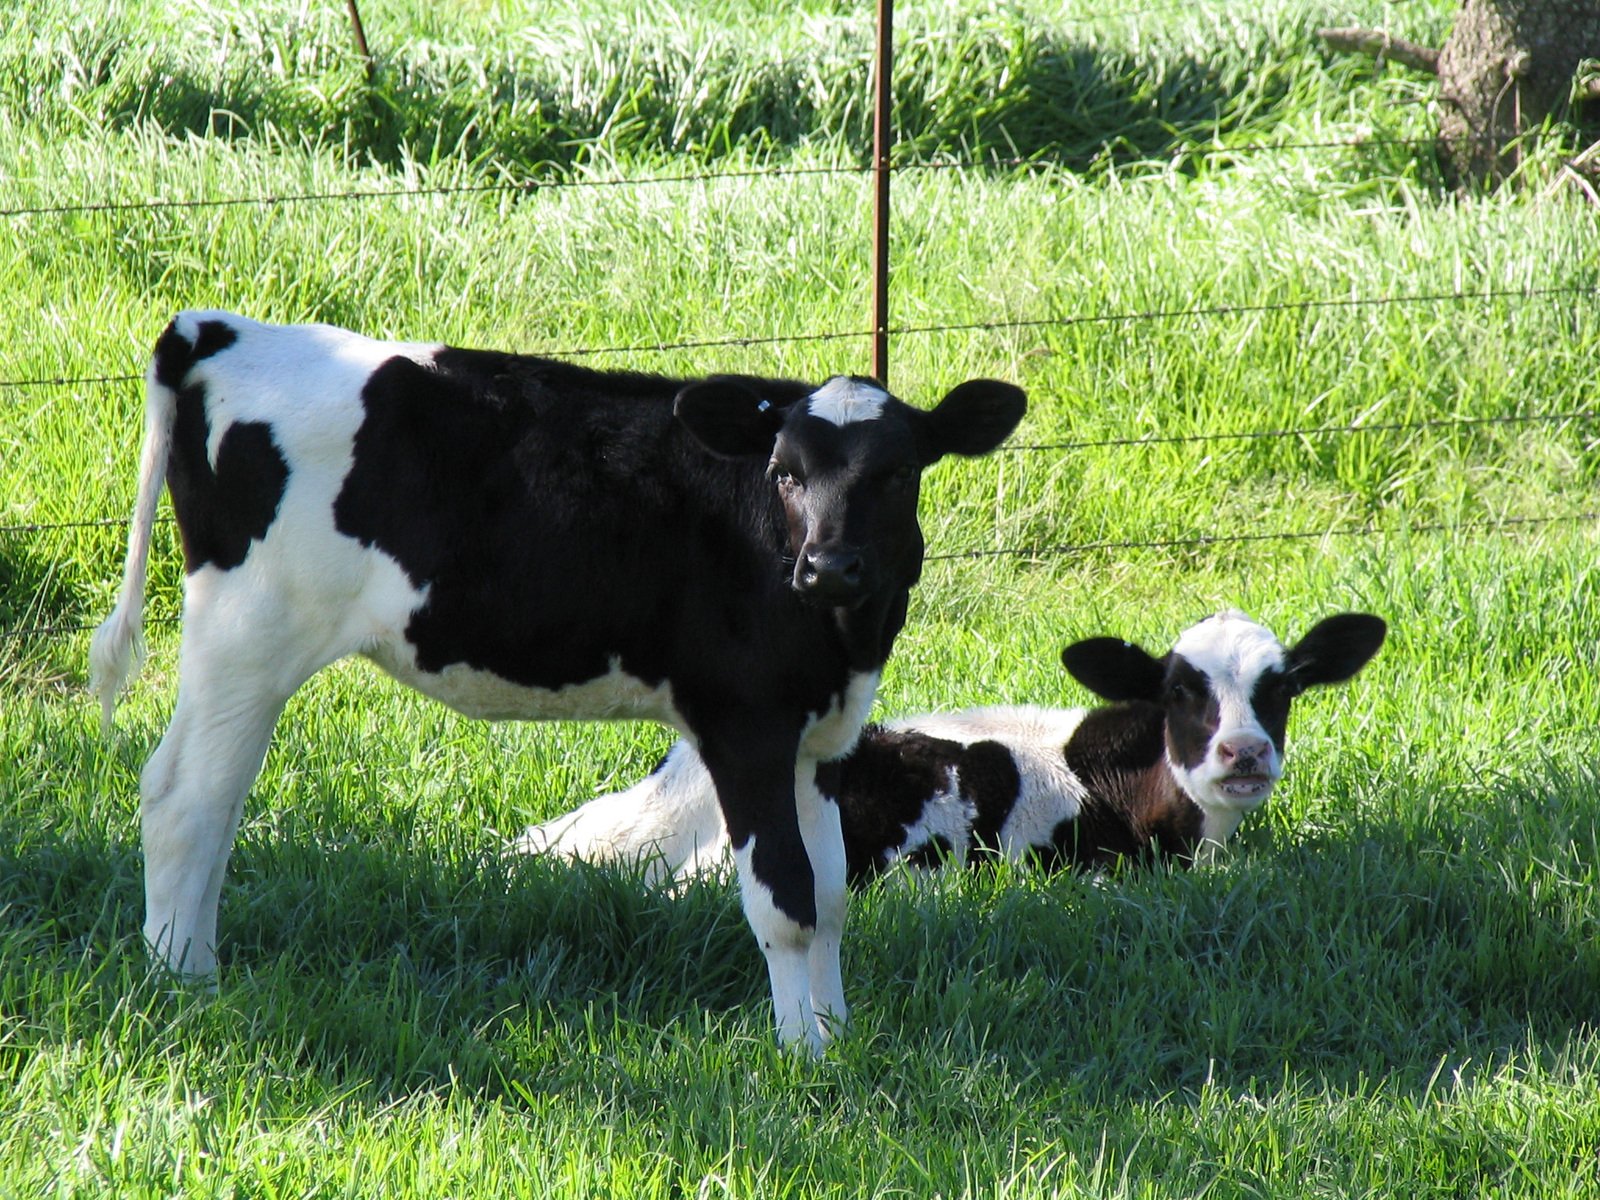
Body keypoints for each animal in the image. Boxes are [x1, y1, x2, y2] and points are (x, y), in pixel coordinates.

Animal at [90, 312, 1024, 1049]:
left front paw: (836, 1033)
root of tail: (218, 331)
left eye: (896, 473)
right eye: (785, 472)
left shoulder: (817, 740)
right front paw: (807, 1058)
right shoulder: (744, 725)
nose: (828, 566)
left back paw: (194, 966)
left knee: (215, 804)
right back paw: (186, 985)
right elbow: (785, 900)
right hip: (247, 633)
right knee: (184, 798)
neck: (841, 635)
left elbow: (828, 895)